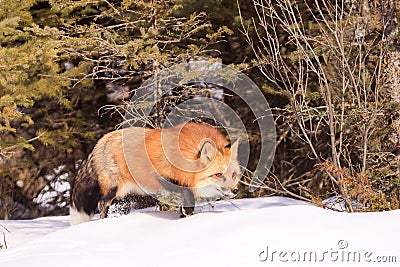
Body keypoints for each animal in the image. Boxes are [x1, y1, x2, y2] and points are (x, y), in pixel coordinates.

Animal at [69, 123, 241, 226]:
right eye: (218, 174)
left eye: (234, 175)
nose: (235, 191)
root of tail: (101, 141)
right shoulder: (163, 175)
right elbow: (187, 196)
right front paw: (188, 218)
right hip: (114, 189)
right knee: (101, 204)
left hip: (123, 196)